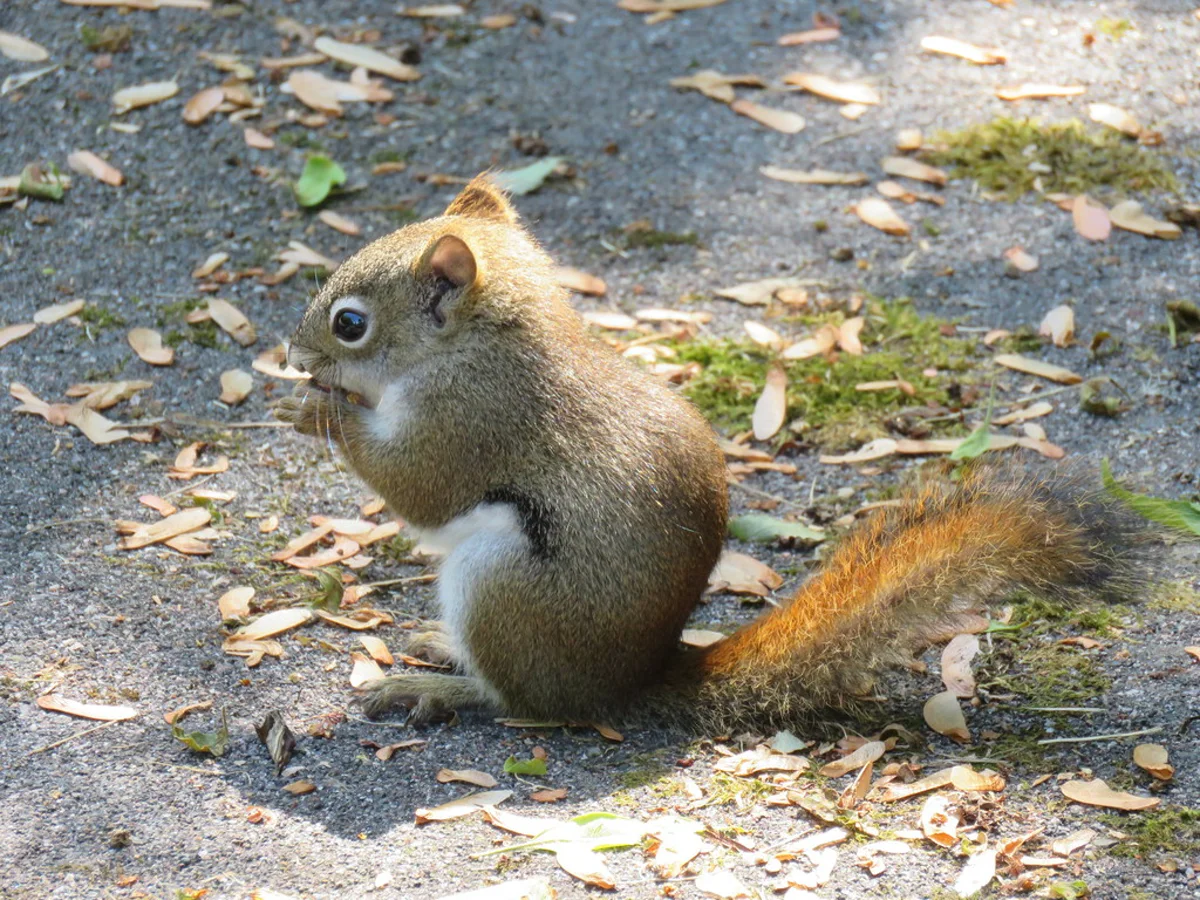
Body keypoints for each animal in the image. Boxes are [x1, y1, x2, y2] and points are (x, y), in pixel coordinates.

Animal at [275, 175, 1149, 732]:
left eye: (350, 324)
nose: (294, 353)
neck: (479, 344)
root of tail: (635, 677)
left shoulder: (472, 418)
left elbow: (420, 488)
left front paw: (316, 408)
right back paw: (436, 648)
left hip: (503, 588)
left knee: (526, 705)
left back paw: (434, 686)